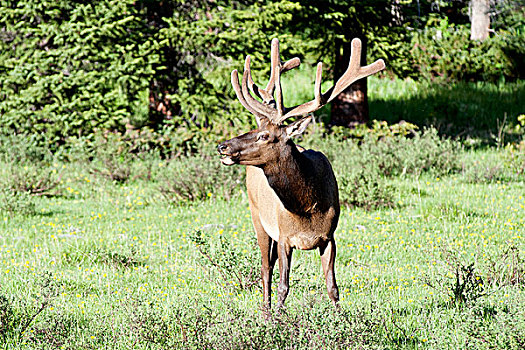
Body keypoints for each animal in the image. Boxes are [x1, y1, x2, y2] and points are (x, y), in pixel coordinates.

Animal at [217, 37, 384, 314]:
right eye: (255, 129)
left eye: (264, 135)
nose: (223, 147)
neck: (307, 206)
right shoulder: (285, 236)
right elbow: (283, 286)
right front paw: (277, 318)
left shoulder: (329, 237)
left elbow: (332, 286)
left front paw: (341, 318)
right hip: (257, 217)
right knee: (265, 269)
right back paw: (265, 311)